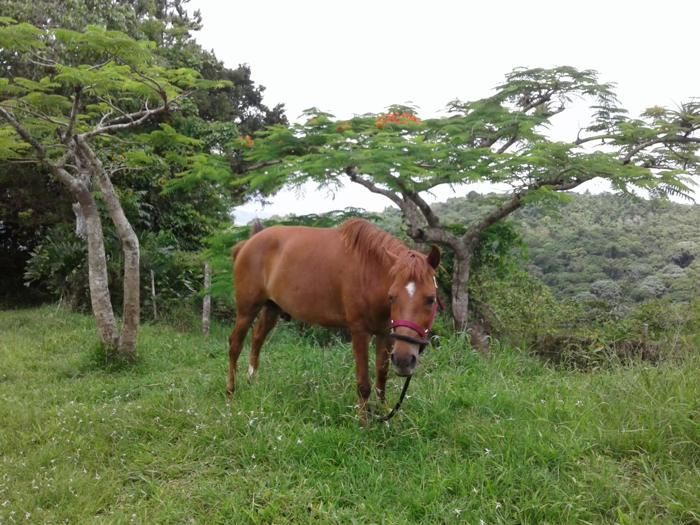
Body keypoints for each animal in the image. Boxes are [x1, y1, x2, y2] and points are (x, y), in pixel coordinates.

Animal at [227, 218, 440, 424]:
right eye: (392, 297)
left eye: (431, 299)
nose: (404, 360)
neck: (369, 273)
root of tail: (247, 243)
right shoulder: (359, 332)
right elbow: (363, 383)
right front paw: (364, 424)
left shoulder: (386, 333)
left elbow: (381, 379)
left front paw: (385, 417)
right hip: (246, 310)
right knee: (235, 344)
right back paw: (231, 392)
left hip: (272, 308)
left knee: (257, 339)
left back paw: (252, 382)